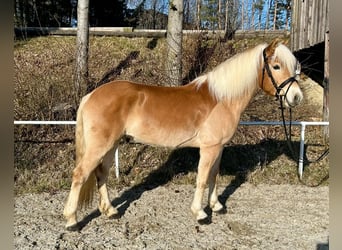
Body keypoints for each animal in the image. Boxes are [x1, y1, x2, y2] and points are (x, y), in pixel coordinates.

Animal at [63, 39, 302, 230]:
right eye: (276, 66)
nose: (296, 97)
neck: (222, 99)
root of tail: (91, 95)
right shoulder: (209, 148)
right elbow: (202, 179)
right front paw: (201, 213)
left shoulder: (219, 148)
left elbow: (214, 176)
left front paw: (216, 206)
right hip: (100, 146)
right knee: (80, 174)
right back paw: (72, 221)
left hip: (111, 145)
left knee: (101, 174)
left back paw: (111, 211)